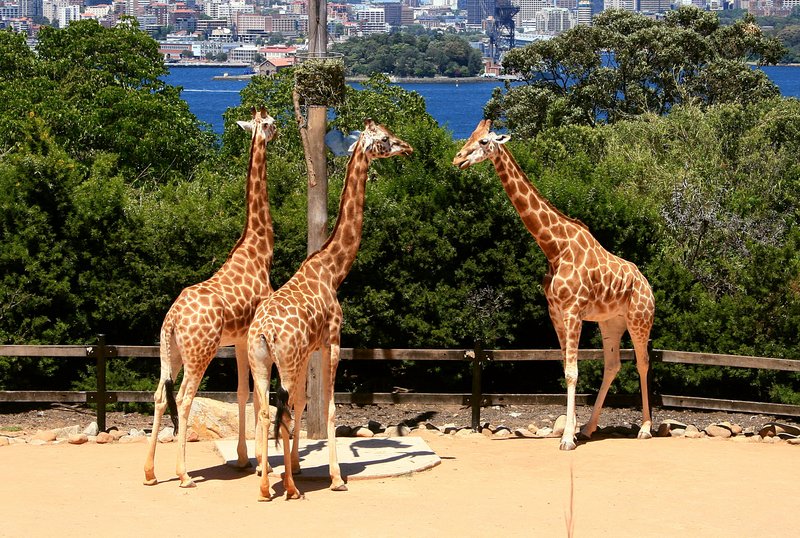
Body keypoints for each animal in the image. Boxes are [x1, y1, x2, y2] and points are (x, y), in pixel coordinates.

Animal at [143, 107, 277, 487]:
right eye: (270, 123)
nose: (279, 131)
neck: (259, 249)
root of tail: (172, 319)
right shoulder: (249, 337)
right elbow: (255, 397)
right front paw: (257, 463)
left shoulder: (238, 340)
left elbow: (243, 393)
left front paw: (245, 460)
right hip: (199, 352)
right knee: (185, 398)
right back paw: (183, 474)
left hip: (170, 350)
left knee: (159, 395)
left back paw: (150, 472)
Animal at [247, 119, 413, 501]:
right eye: (385, 139)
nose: (408, 147)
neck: (333, 270)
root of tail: (264, 331)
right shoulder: (333, 340)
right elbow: (330, 407)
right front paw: (336, 477)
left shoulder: (311, 349)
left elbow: (304, 402)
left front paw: (295, 465)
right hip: (285, 363)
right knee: (279, 412)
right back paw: (291, 490)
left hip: (260, 362)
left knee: (264, 410)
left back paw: (265, 485)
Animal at [453, 119, 655, 450]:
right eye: (469, 136)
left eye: (483, 141)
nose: (458, 159)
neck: (554, 248)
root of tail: (647, 283)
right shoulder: (556, 313)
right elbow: (565, 369)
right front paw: (570, 432)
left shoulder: (573, 311)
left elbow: (573, 372)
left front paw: (567, 440)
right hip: (611, 321)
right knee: (612, 365)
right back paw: (589, 428)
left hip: (640, 318)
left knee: (642, 362)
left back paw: (645, 429)